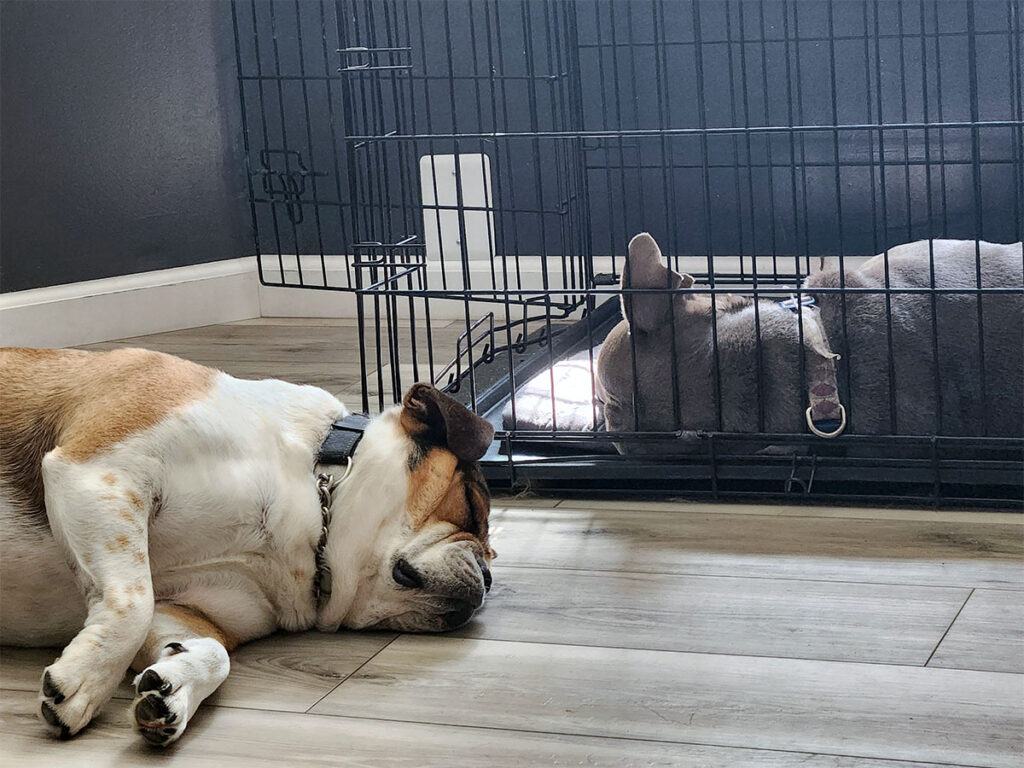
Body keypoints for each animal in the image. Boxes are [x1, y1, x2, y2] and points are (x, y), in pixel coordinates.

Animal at [0, 348, 495, 745]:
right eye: (472, 506)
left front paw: (174, 690)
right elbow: (132, 602)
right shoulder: (98, 472)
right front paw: (85, 681)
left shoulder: (190, 608)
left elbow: (207, 649)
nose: (489, 578)